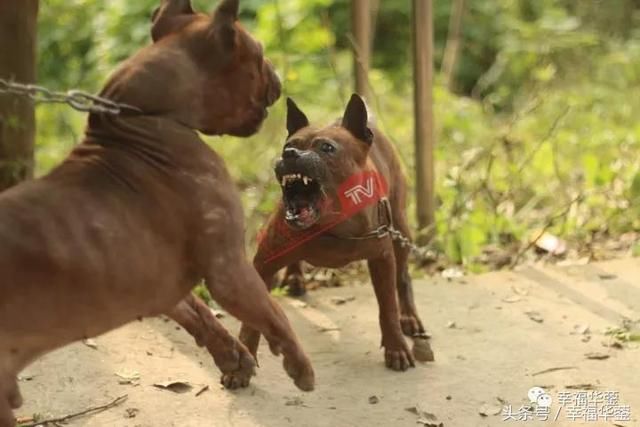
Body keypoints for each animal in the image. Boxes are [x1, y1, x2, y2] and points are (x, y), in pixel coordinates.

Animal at [0, 0, 316, 424]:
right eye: (259, 55)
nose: (277, 76)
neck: (145, 117)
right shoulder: (229, 270)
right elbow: (273, 312)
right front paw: (298, 365)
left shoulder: (158, 282)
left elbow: (196, 311)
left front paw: (233, 358)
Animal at [230, 95, 436, 380]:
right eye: (289, 145)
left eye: (327, 148)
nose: (289, 154)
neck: (331, 225)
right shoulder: (264, 263)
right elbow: (253, 320)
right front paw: (242, 363)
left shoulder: (382, 259)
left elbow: (388, 309)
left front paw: (396, 347)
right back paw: (295, 277)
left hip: (401, 228)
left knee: (403, 277)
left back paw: (409, 317)